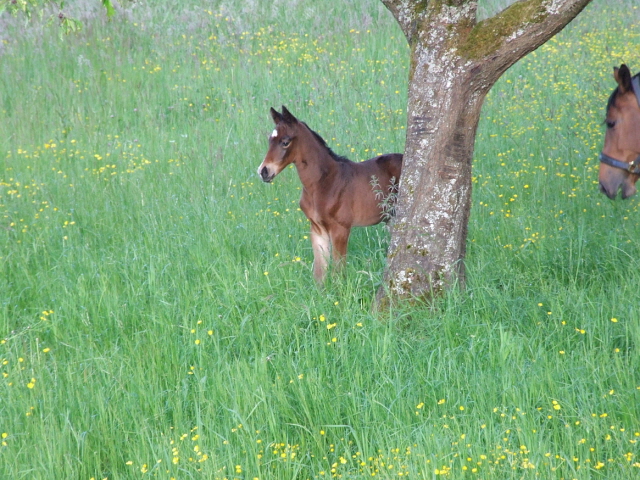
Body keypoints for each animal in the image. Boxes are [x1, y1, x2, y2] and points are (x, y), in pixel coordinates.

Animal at [256, 107, 400, 284]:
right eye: (270, 140)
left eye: (285, 142)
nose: (263, 171)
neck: (323, 183)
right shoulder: (317, 228)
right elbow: (320, 272)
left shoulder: (340, 228)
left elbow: (338, 270)